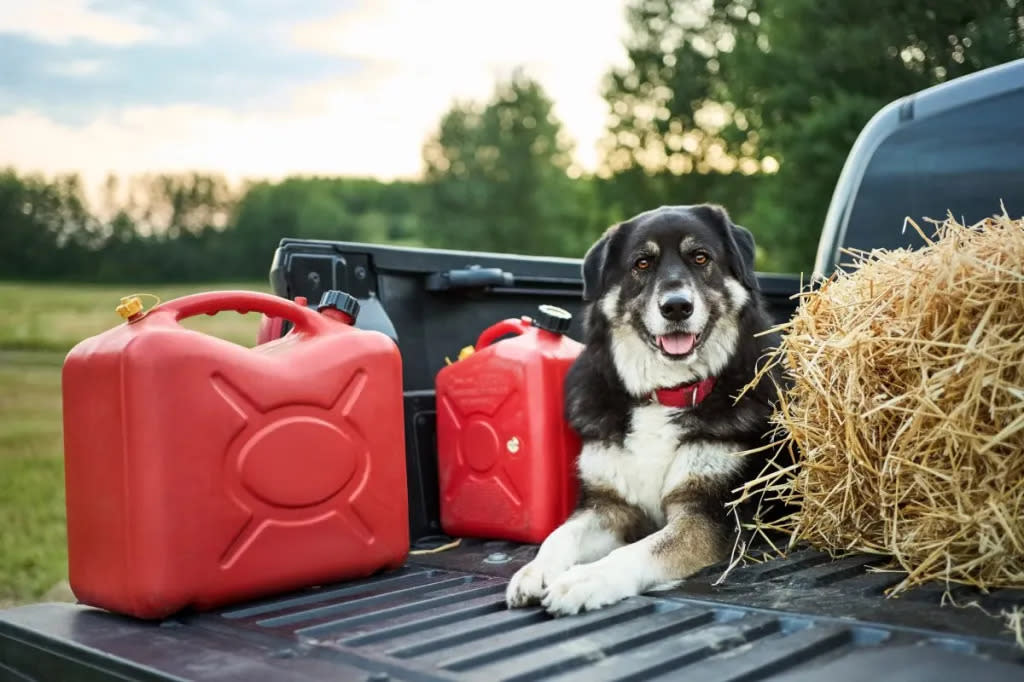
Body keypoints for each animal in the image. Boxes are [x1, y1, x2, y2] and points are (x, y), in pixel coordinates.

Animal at [507, 202, 778, 614]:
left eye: (701, 257)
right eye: (642, 263)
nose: (677, 307)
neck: (665, 393)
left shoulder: (708, 514)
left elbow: (640, 551)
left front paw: (585, 580)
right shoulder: (612, 506)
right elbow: (559, 535)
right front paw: (535, 571)